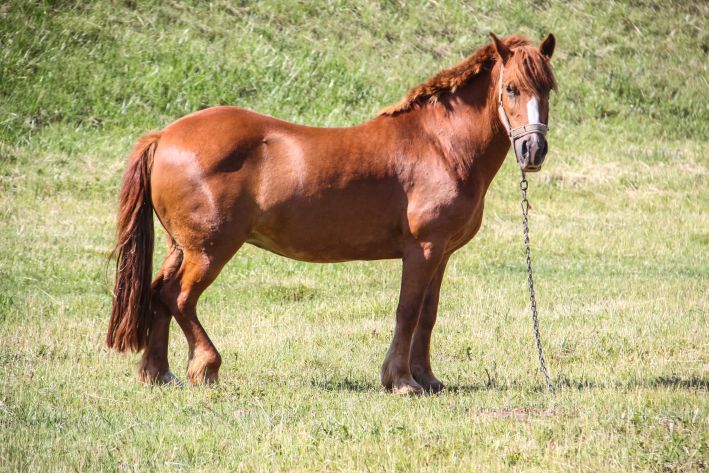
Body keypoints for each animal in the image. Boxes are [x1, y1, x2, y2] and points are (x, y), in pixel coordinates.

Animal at [108, 33, 556, 392]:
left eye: (548, 88)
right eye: (511, 88)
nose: (533, 150)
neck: (439, 144)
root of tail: (164, 135)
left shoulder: (440, 254)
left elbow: (427, 316)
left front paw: (427, 378)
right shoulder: (423, 250)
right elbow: (407, 312)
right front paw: (401, 381)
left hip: (181, 246)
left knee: (157, 293)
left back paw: (158, 372)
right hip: (209, 250)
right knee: (178, 296)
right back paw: (206, 367)